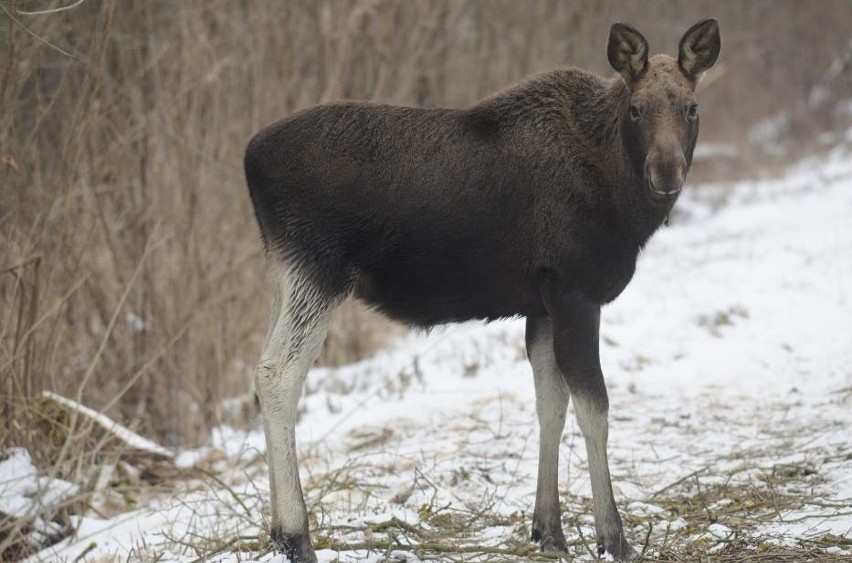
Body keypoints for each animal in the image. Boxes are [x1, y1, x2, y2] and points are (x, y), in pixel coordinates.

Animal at [245, 19, 720, 560]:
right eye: (637, 108)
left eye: (691, 107)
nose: (666, 172)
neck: (622, 195)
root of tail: (248, 158)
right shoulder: (575, 291)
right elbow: (594, 407)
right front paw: (613, 537)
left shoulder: (541, 303)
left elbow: (550, 404)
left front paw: (549, 529)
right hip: (317, 271)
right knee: (277, 375)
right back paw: (296, 535)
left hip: (285, 273)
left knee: (263, 371)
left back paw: (278, 530)